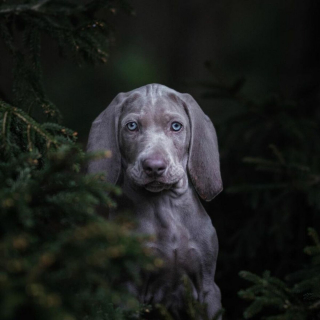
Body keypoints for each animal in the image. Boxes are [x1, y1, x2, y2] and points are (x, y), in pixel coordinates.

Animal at [87, 84, 222, 318]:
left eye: (176, 126)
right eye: (132, 126)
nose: (154, 167)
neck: (164, 204)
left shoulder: (208, 288)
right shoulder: (128, 290)